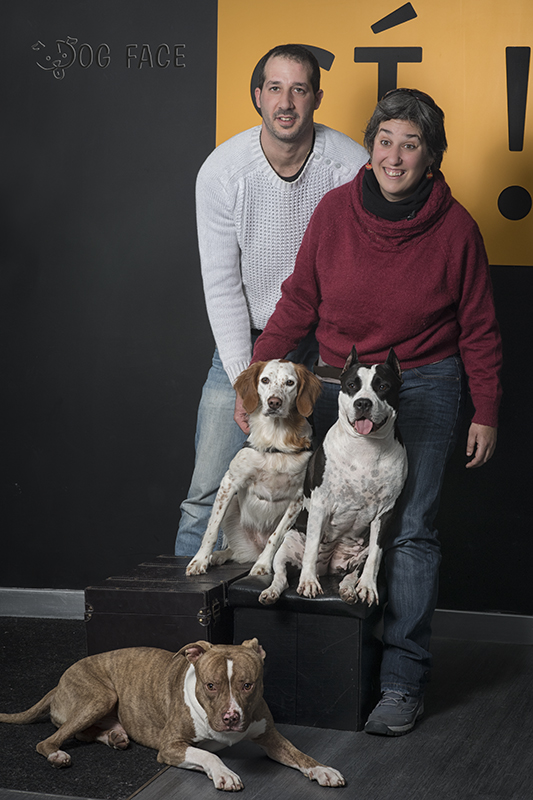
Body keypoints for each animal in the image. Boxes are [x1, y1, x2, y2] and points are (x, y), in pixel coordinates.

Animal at [0, 639, 344, 791]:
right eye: (210, 685)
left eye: (248, 685)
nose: (231, 718)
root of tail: (58, 683)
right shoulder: (171, 746)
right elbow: (208, 755)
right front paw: (224, 773)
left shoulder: (270, 736)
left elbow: (299, 754)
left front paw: (322, 770)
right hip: (100, 695)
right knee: (49, 740)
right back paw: (58, 755)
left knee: (85, 732)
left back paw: (114, 736)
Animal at [186, 359, 322, 577]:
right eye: (265, 380)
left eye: (290, 383)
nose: (274, 402)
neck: (275, 437)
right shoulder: (229, 483)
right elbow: (212, 528)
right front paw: (200, 560)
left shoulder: (299, 498)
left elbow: (275, 536)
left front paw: (263, 564)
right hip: (234, 505)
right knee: (233, 550)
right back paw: (217, 556)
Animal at [259, 346, 407, 607]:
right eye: (351, 385)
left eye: (382, 386)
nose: (363, 403)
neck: (366, 448)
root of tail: (327, 566)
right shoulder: (320, 504)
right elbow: (312, 546)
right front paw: (308, 582)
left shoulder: (386, 513)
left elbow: (375, 557)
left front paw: (368, 587)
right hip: (287, 544)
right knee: (281, 575)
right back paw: (273, 591)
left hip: (358, 556)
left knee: (351, 574)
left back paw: (349, 590)